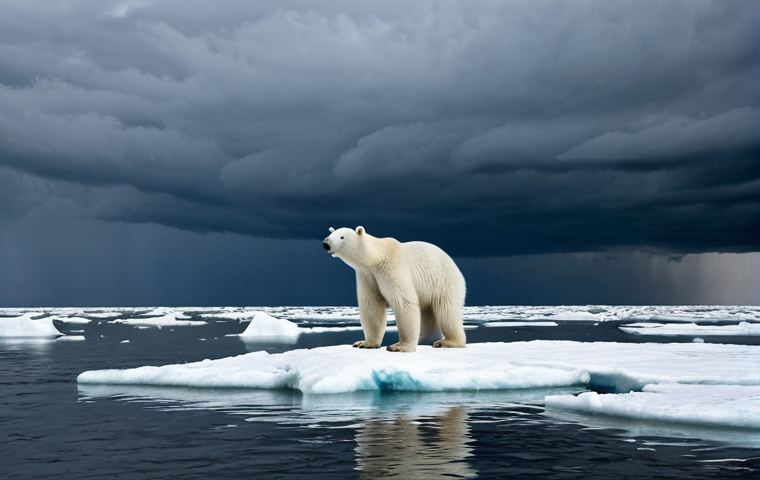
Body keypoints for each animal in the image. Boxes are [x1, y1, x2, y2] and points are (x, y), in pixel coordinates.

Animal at [322, 226, 466, 352]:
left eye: (342, 237)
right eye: (330, 234)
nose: (325, 243)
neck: (377, 257)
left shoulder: (392, 267)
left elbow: (404, 301)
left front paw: (399, 346)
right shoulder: (367, 275)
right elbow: (372, 306)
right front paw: (364, 343)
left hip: (444, 281)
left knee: (447, 311)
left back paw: (447, 342)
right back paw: (425, 339)